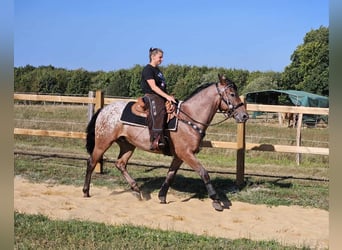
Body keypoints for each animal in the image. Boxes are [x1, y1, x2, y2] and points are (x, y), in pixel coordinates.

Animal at [83, 74, 248, 211]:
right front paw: (216, 201)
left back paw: (136, 190)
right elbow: (204, 173)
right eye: (232, 94)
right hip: (103, 142)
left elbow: (170, 175)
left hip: (127, 145)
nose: (244, 116)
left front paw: (162, 196)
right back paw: (86, 191)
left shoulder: (179, 156)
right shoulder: (186, 154)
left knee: (120, 164)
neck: (189, 117)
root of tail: (104, 110)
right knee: (92, 162)